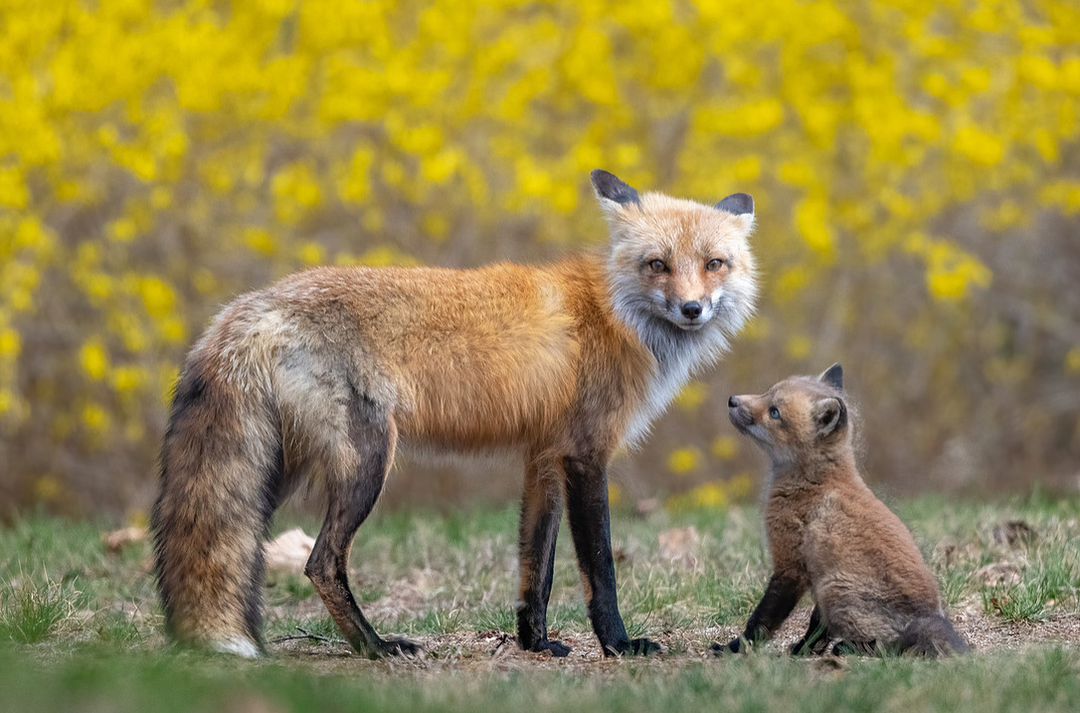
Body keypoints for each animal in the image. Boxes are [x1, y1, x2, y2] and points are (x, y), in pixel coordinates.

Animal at [151, 169, 758, 660]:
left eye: (714, 264)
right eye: (658, 265)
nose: (692, 309)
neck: (611, 315)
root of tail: (249, 308)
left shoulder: (544, 455)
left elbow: (536, 568)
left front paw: (535, 645)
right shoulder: (585, 456)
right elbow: (600, 567)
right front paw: (619, 645)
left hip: (275, 472)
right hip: (365, 461)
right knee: (320, 562)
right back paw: (375, 647)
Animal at [714, 365, 969, 657]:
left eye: (774, 412)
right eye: (767, 393)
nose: (732, 400)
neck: (816, 483)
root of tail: (924, 619)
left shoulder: (790, 565)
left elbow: (763, 620)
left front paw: (733, 648)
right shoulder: (814, 569)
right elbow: (816, 625)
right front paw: (803, 650)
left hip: (832, 589)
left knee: (889, 647)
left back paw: (849, 648)